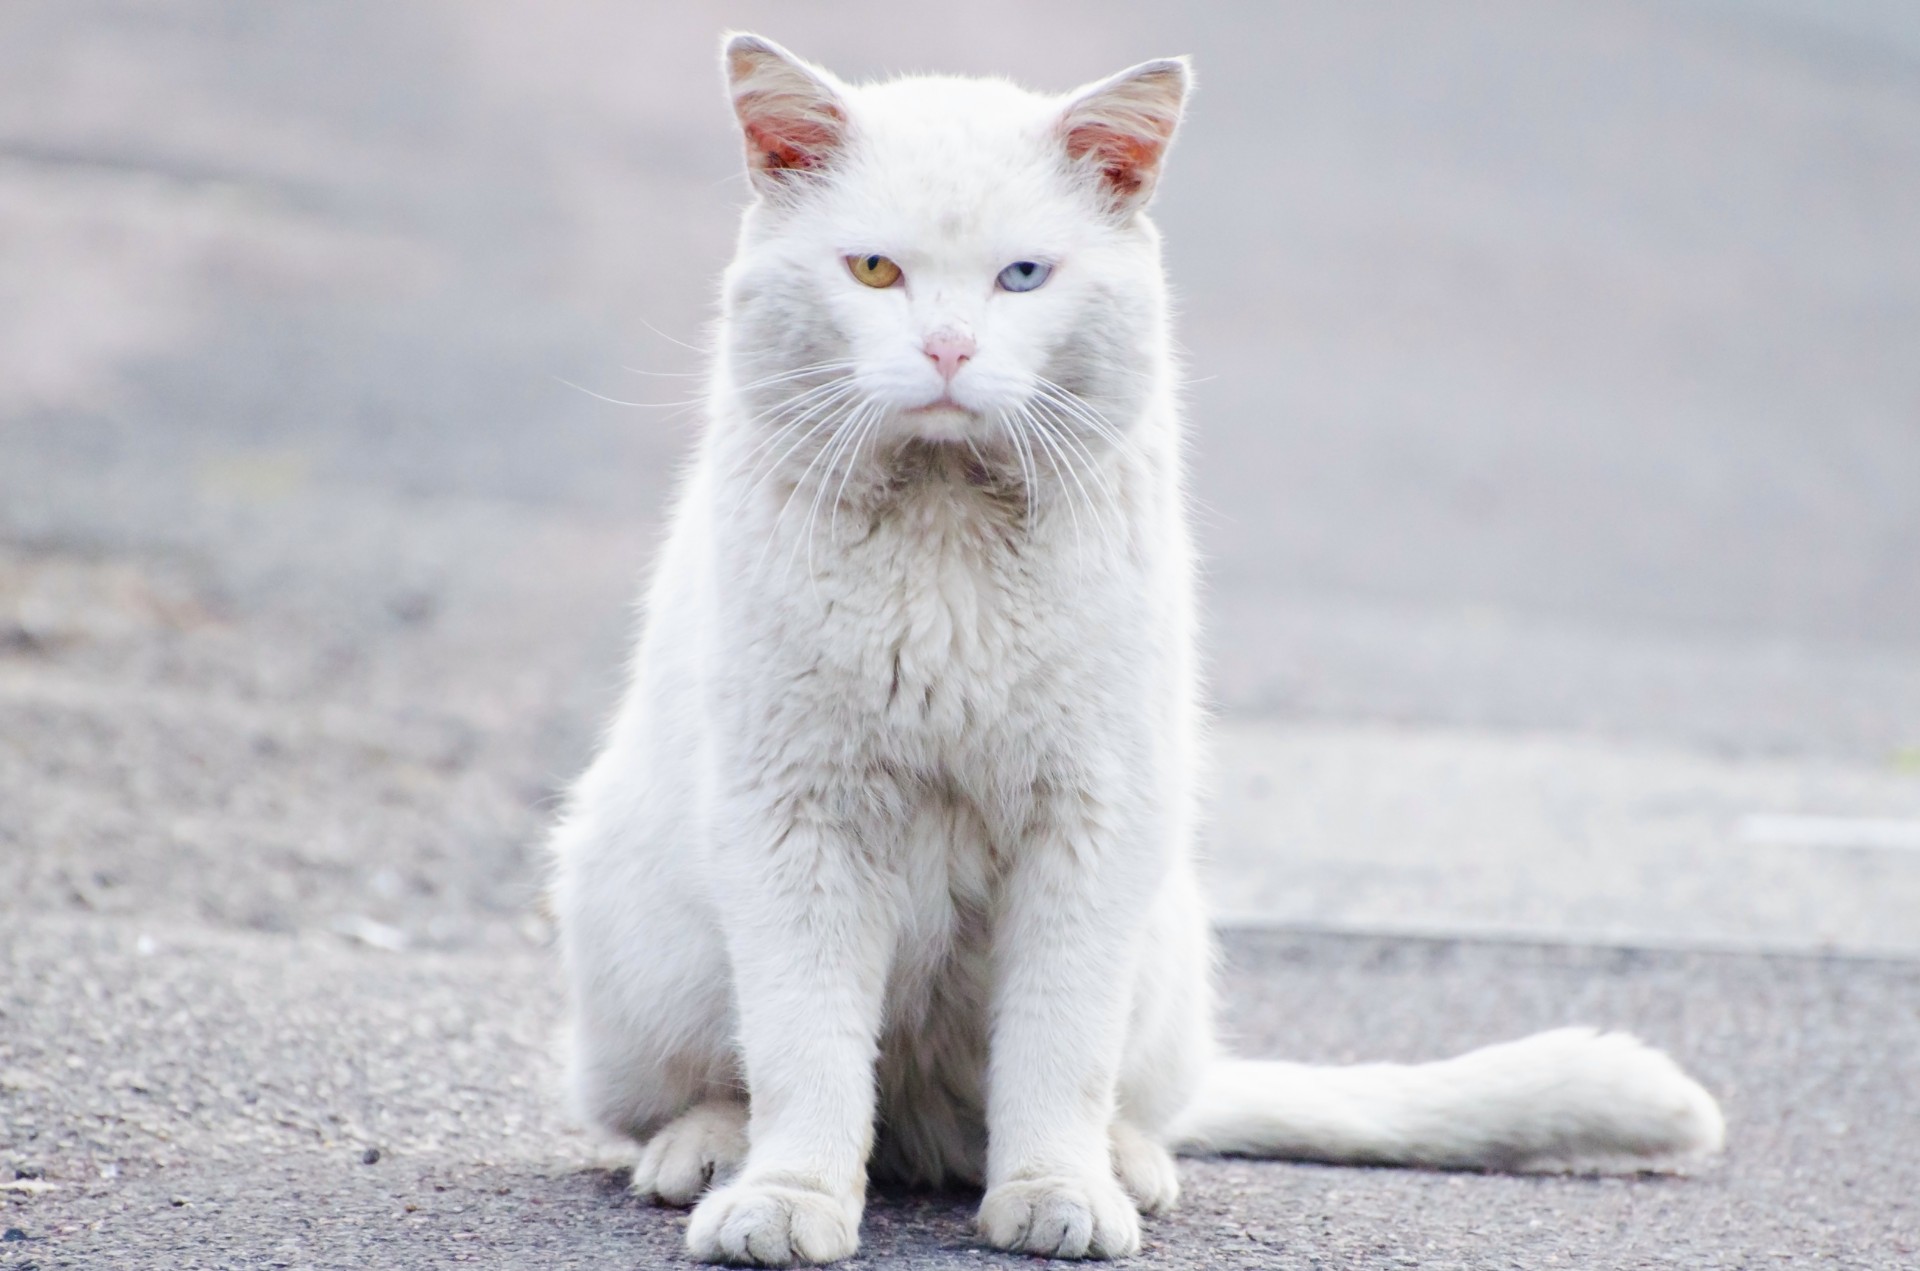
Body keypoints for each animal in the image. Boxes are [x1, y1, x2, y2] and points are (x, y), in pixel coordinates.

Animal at [545, 34, 1728, 1267]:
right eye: (874, 270)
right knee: (702, 1088)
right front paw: (787, 1200)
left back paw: (1126, 1162)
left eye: (1024, 276)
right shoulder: (797, 820)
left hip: (1163, 936)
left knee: (1120, 1094)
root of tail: (918, 1125)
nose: (949, 347)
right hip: (646, 937)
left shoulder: (1093, 817)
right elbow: (807, 1046)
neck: (947, 519)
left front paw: (1058, 1191)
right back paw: (707, 1151)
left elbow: (1058, 1048)